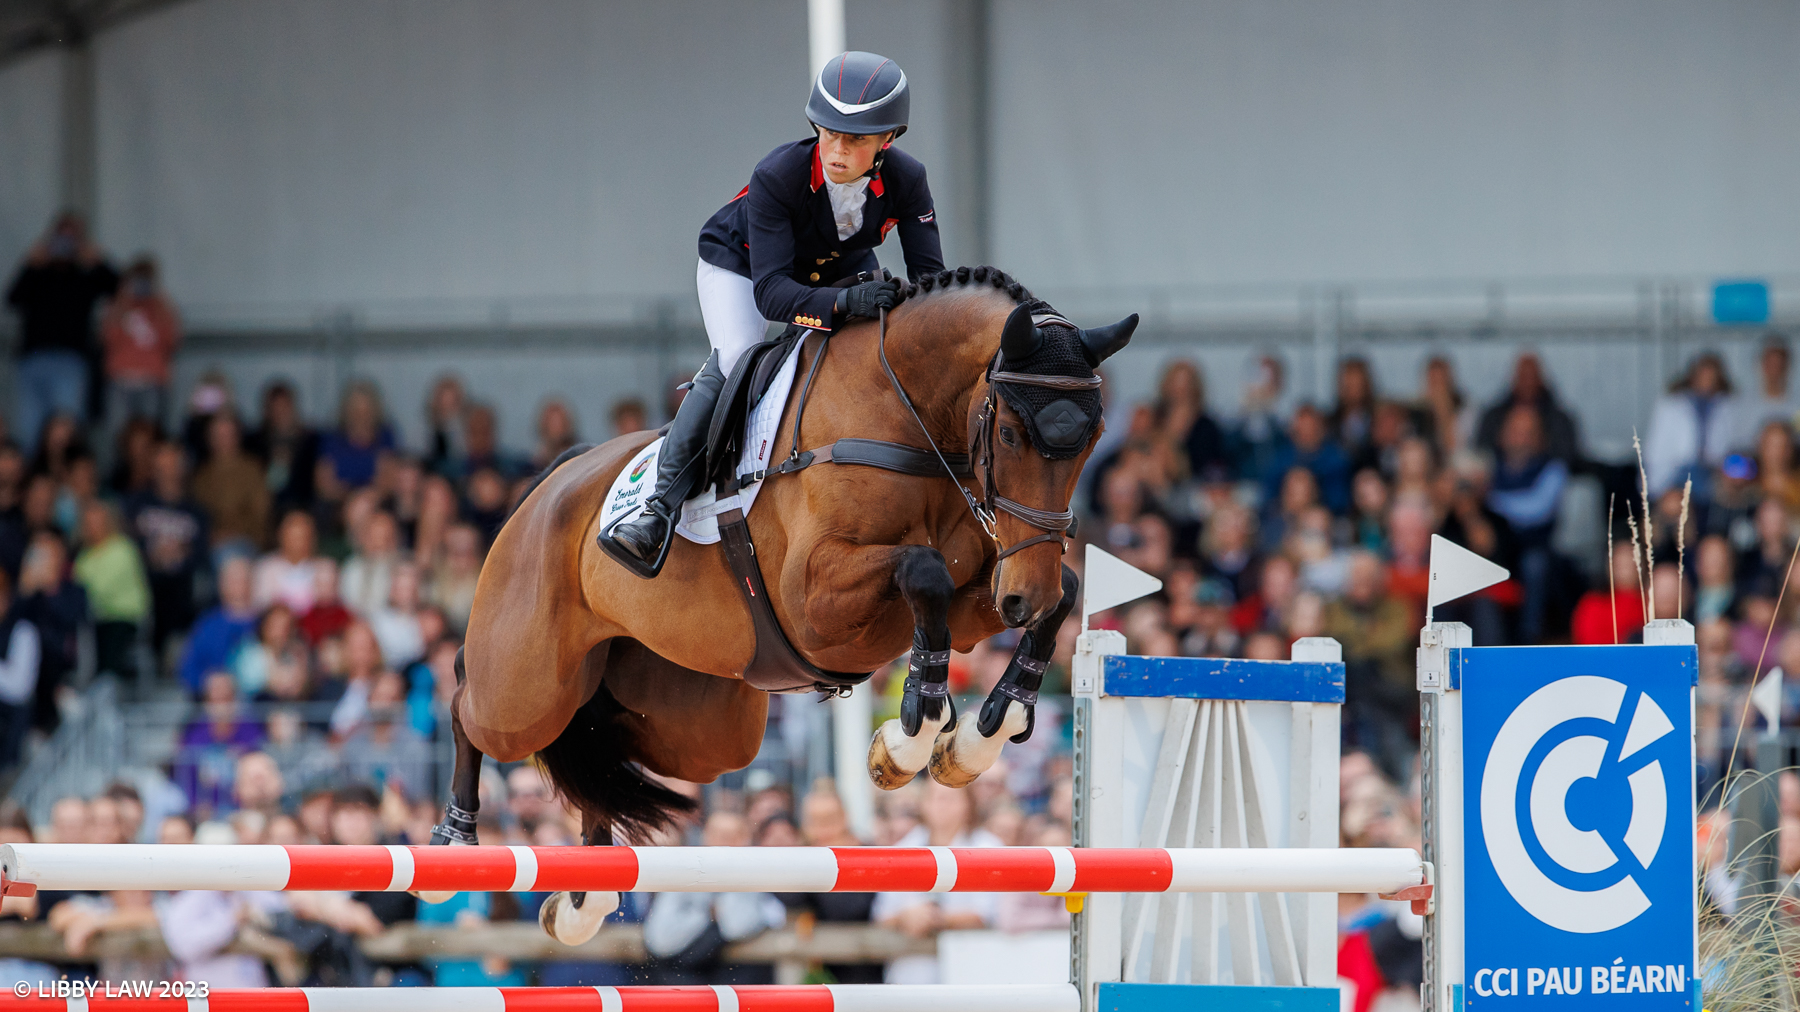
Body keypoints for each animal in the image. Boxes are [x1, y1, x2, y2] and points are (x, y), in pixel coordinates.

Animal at [429, 266, 1137, 943]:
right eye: (1011, 433)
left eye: (1094, 436)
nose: (1023, 600)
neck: (909, 417)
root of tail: (548, 482)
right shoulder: (816, 604)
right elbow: (923, 571)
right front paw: (911, 736)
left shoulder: (981, 590)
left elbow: (1060, 591)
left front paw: (979, 734)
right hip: (526, 688)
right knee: (472, 704)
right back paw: (455, 843)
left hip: (702, 727)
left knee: (604, 739)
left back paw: (585, 897)